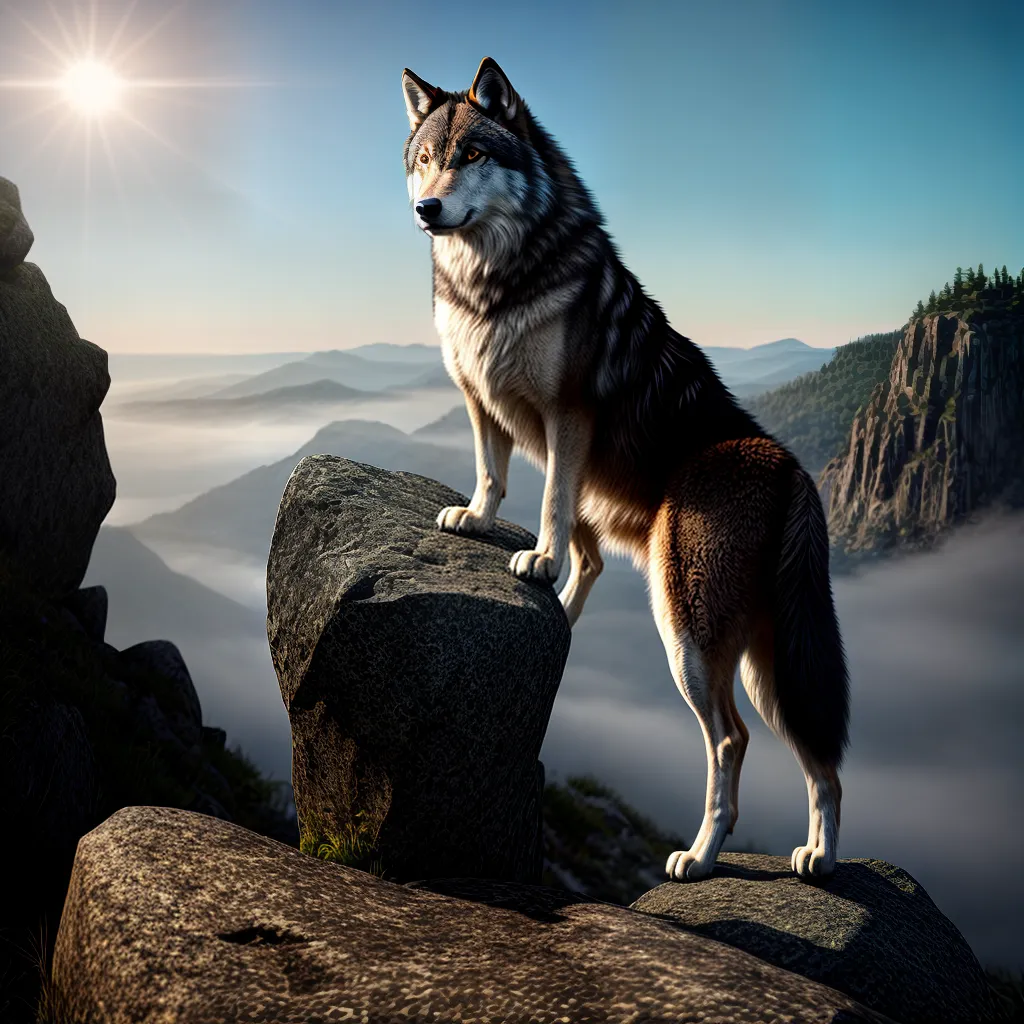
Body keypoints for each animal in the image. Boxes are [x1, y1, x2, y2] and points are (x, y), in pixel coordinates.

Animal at [401, 57, 849, 881]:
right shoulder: (481, 399)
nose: (426, 208)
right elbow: (493, 476)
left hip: (690, 637)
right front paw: (476, 521)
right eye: (424, 159)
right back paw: (819, 859)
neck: (495, 280)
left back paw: (700, 858)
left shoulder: (569, 416)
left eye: (472, 155)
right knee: (820, 761)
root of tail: (792, 470)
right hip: (770, 668)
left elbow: (549, 501)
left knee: (732, 741)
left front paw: (536, 559)